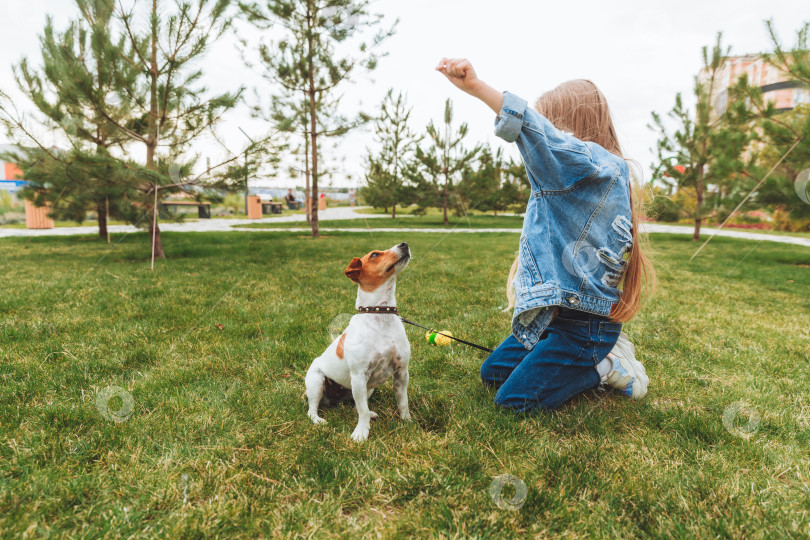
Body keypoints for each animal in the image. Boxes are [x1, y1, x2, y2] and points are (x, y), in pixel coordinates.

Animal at [304, 243, 410, 440]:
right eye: (374, 255)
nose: (404, 244)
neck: (380, 315)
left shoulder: (401, 372)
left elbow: (402, 402)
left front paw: (408, 422)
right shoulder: (359, 375)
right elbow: (361, 411)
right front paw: (361, 433)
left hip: (365, 388)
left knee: (358, 406)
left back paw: (371, 414)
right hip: (316, 381)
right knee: (312, 410)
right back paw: (319, 420)